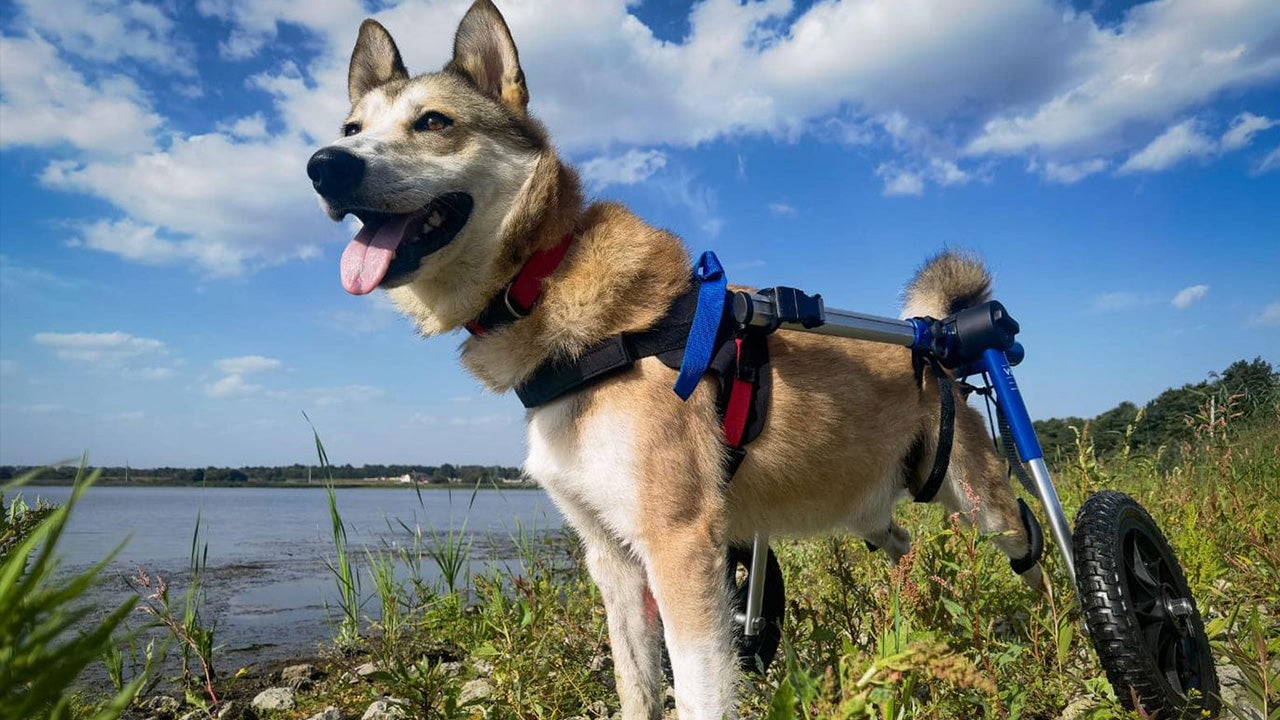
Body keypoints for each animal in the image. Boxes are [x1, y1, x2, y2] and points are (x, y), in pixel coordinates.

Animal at [307, 2, 1039, 712]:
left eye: (434, 121)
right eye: (350, 127)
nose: (323, 165)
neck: (543, 278)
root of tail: (932, 338)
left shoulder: (679, 544)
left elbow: (697, 690)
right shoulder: (611, 556)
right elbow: (636, 686)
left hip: (983, 505)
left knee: (1033, 560)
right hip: (868, 508)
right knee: (905, 551)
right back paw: (902, 632)